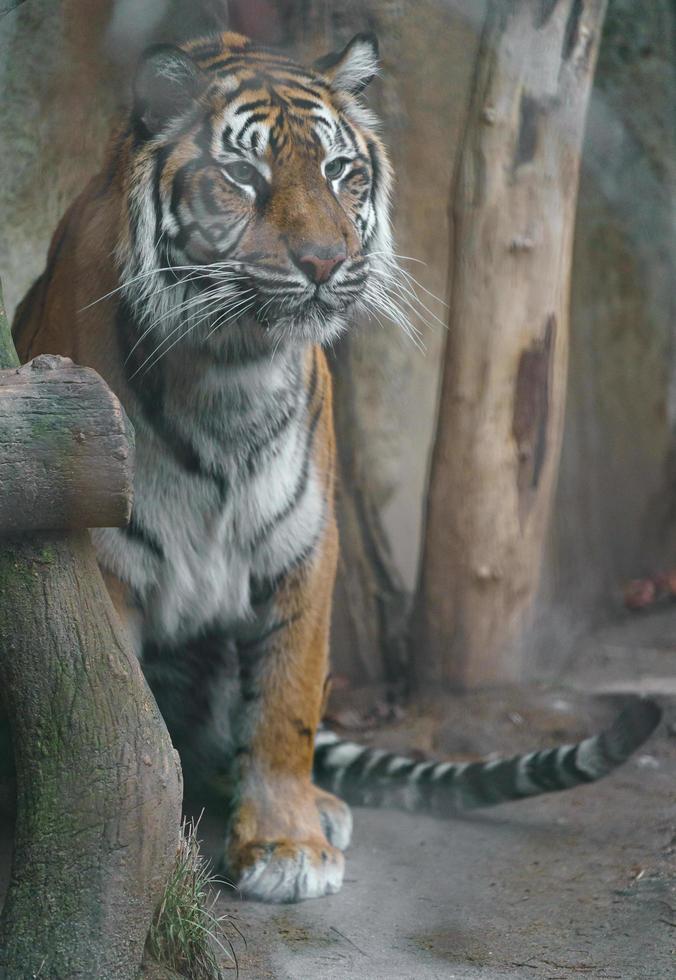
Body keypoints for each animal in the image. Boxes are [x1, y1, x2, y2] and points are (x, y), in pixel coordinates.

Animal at [13, 30, 664, 904]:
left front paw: (288, 843)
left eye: (338, 171)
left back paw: (323, 807)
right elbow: (119, 720)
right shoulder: (107, 563)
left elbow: (287, 703)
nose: (324, 263)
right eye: (243, 177)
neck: (229, 374)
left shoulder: (303, 545)